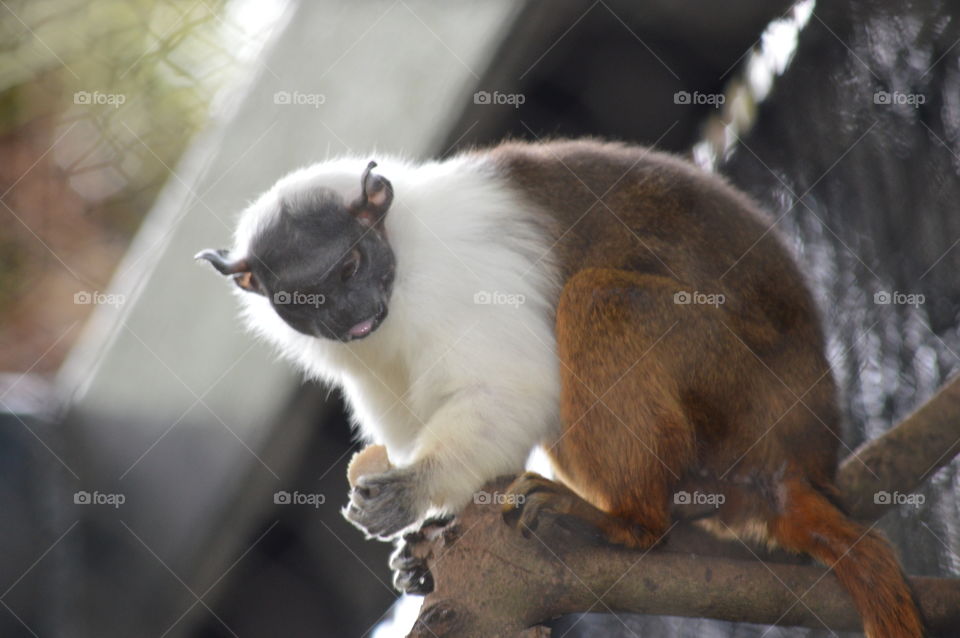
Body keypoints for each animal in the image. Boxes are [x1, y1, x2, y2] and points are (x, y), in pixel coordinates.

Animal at [197, 139, 923, 637]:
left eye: (350, 265)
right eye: (307, 297)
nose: (352, 317)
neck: (397, 270)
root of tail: (803, 458)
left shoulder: (451, 284)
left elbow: (514, 389)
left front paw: (412, 491)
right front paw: (422, 553)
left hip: (742, 399)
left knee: (598, 297)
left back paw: (629, 524)